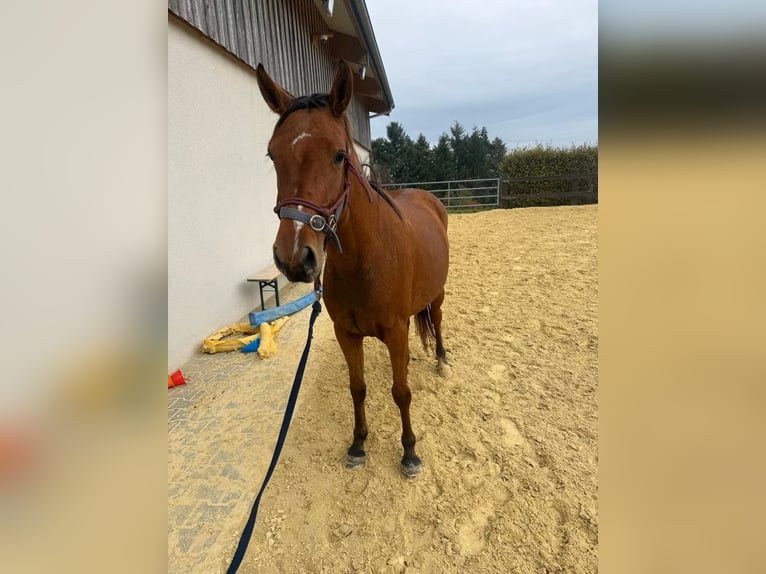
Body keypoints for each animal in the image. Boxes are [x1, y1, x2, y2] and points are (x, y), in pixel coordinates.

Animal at [255, 61, 450, 477]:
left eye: (339, 156)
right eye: (272, 155)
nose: (295, 257)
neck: (366, 261)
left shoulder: (395, 331)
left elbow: (401, 392)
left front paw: (409, 452)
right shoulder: (347, 333)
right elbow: (357, 388)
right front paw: (359, 444)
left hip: (438, 294)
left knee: (438, 321)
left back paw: (442, 360)